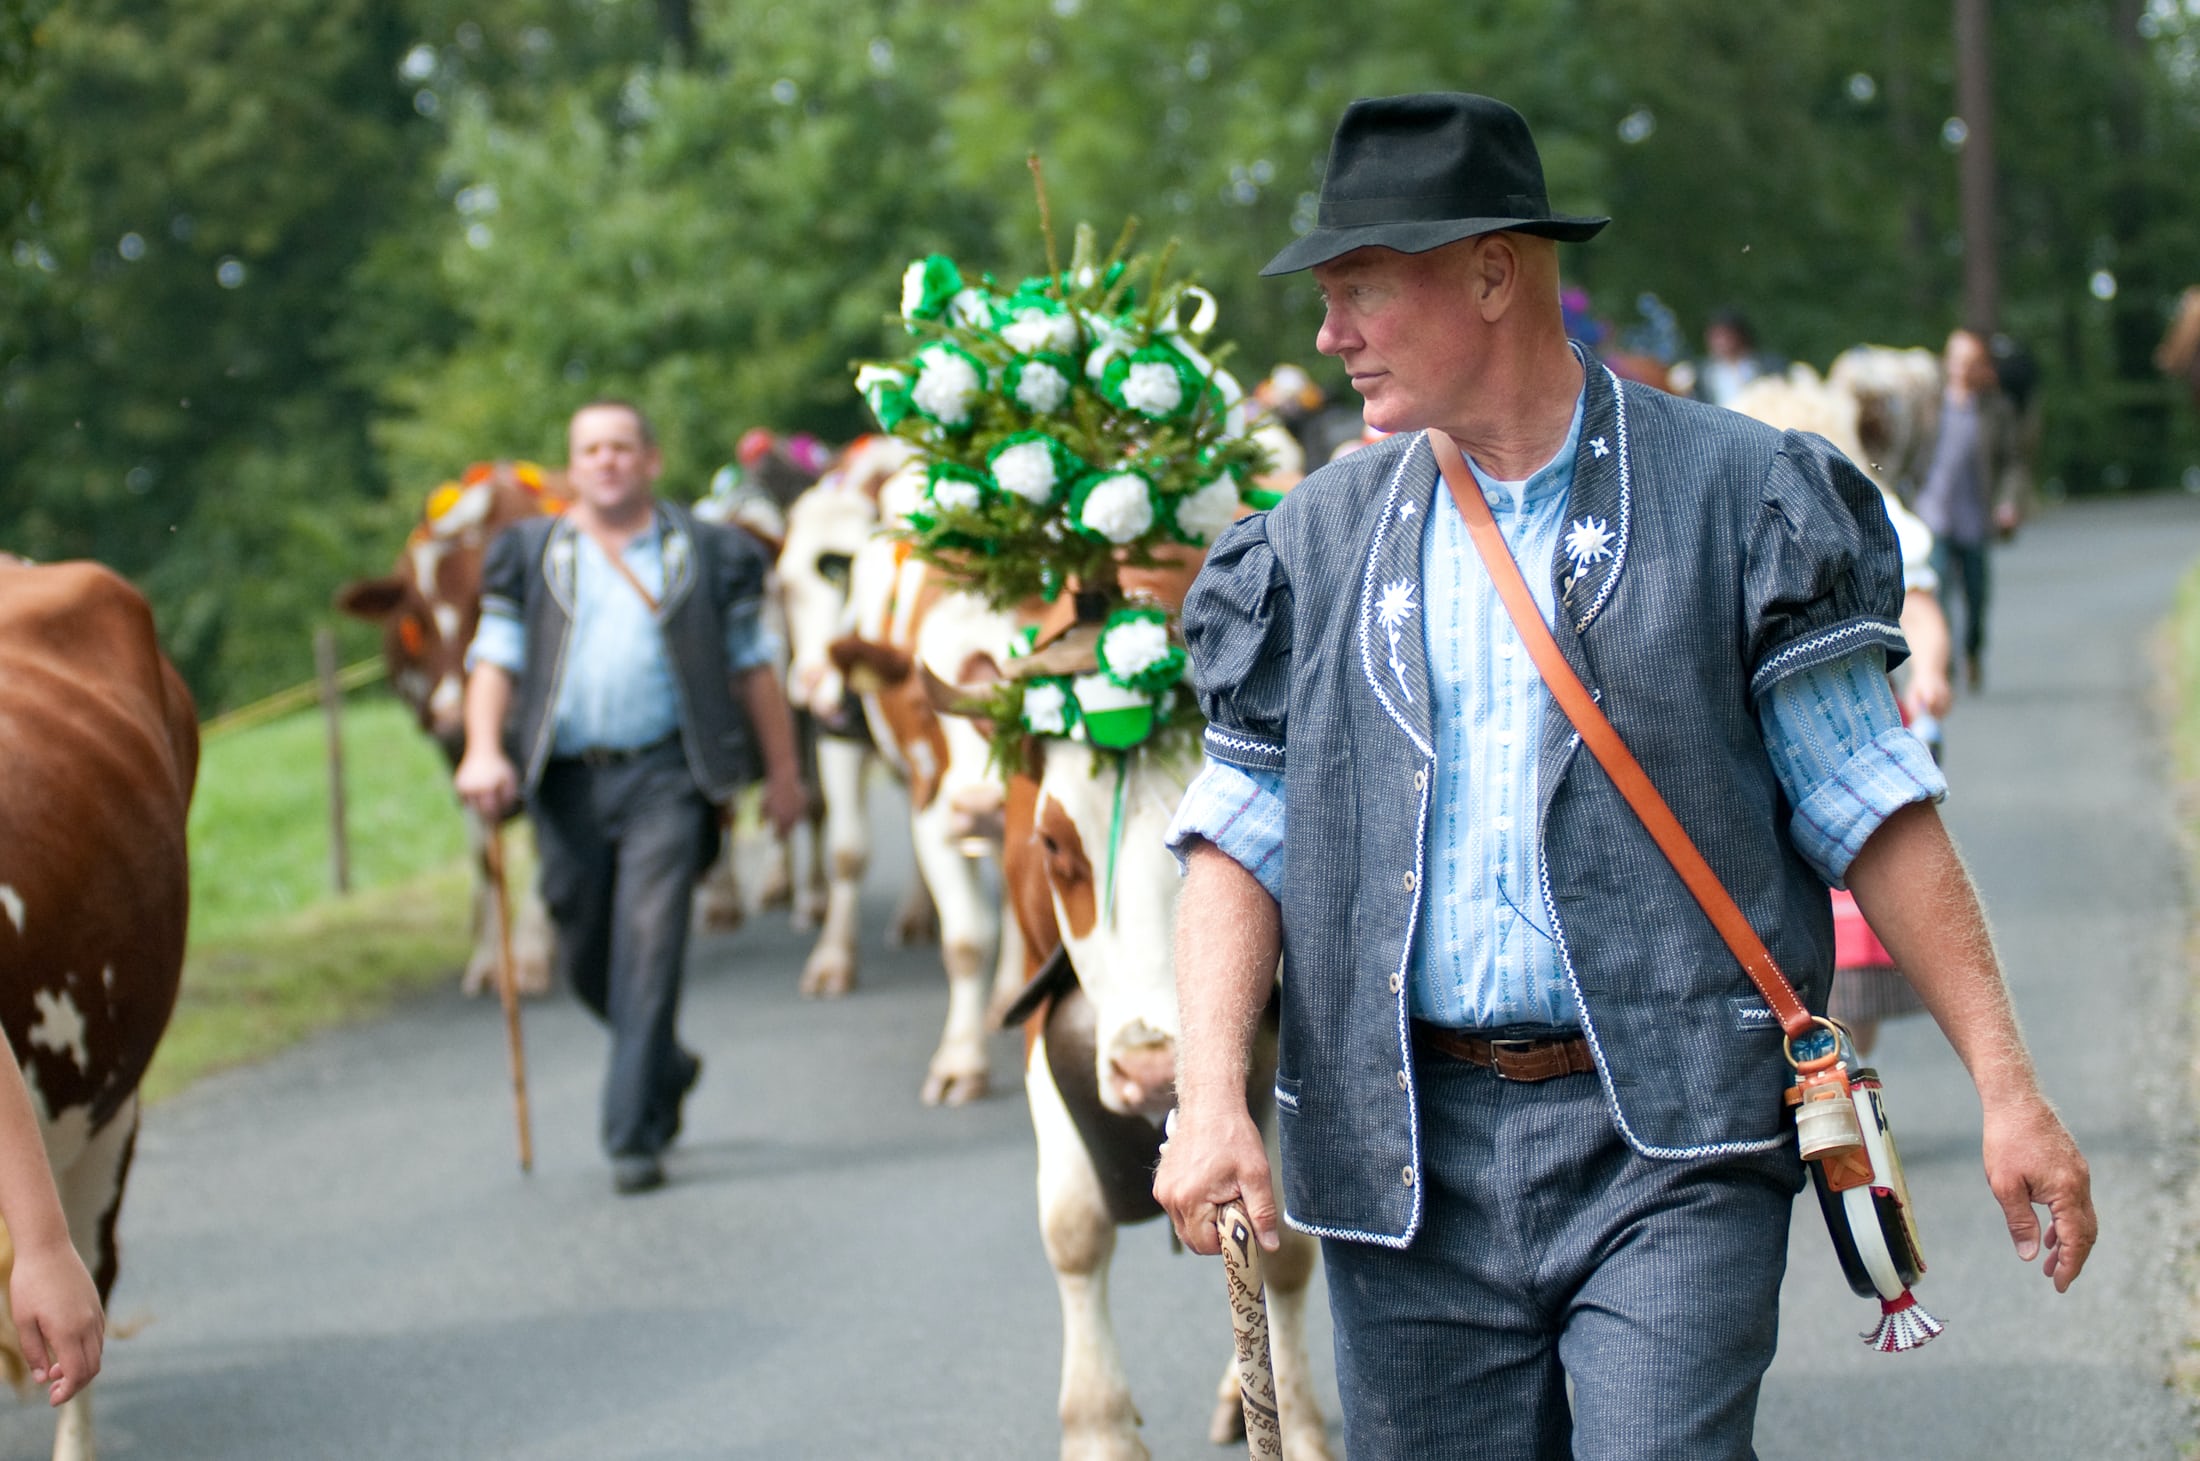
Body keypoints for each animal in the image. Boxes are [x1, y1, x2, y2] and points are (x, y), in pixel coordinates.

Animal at [336, 462, 567, 998]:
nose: (450, 719)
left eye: (483, 606)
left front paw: (528, 955)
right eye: (410, 625)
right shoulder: (459, 760)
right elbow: (485, 860)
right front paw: (490, 960)